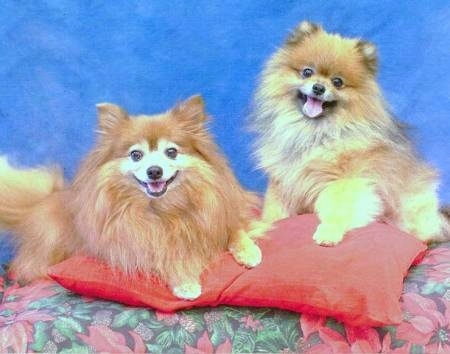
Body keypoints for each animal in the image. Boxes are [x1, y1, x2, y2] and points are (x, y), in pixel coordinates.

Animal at [0, 95, 262, 300]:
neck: (166, 209)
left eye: (171, 152)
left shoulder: (221, 216)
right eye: (136, 155)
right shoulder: (132, 244)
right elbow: (166, 257)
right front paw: (185, 282)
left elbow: (235, 230)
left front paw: (250, 252)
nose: (154, 171)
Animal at [251, 20, 448, 245]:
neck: (314, 133)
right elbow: (274, 212)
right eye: (307, 72)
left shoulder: (345, 180)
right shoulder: (283, 180)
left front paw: (329, 231)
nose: (318, 88)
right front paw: (264, 227)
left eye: (337, 82)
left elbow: (337, 209)